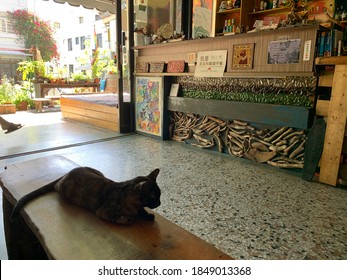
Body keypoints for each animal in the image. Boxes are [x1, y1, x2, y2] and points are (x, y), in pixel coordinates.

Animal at [10, 167, 162, 224]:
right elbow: (120, 217)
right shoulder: (103, 212)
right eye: (154, 197)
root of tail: (65, 174)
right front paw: (130, 219)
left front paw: (147, 215)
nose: (159, 203)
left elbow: (142, 211)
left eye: (160, 195)